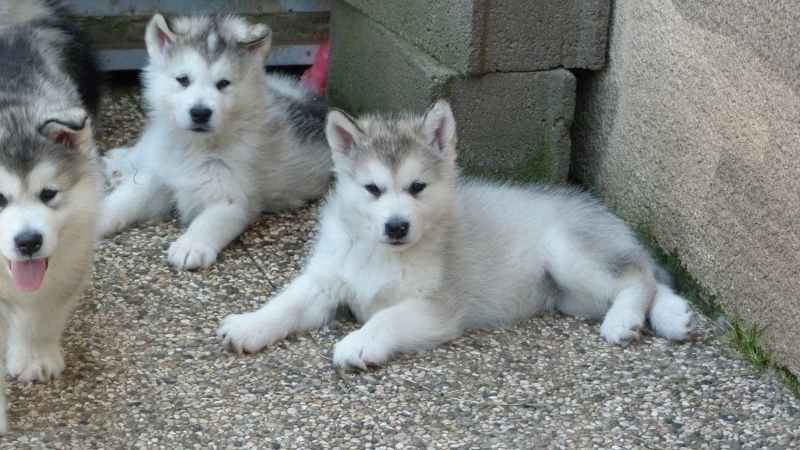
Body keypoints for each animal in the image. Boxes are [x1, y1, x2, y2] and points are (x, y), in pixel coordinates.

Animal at [99, 13, 333, 271]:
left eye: (223, 83)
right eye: (183, 80)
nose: (200, 113)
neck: (196, 147)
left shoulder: (234, 199)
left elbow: (209, 222)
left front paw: (191, 245)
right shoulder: (162, 176)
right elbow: (128, 197)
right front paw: (98, 215)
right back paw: (119, 162)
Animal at [218, 100, 695, 370]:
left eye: (417, 187)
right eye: (372, 189)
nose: (397, 226)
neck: (380, 254)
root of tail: (599, 211)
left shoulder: (437, 307)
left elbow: (385, 318)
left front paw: (357, 343)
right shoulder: (326, 279)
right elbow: (286, 302)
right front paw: (249, 326)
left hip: (569, 253)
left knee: (637, 276)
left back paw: (625, 320)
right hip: (572, 296)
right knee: (649, 279)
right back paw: (675, 315)